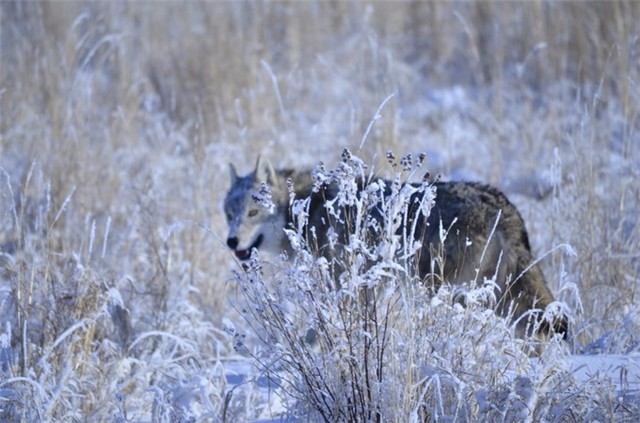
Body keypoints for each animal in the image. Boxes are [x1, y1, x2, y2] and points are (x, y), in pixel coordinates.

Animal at [222, 156, 568, 338]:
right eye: (229, 214)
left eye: (252, 213)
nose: (231, 241)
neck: (309, 206)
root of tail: (501, 204)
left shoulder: (344, 284)